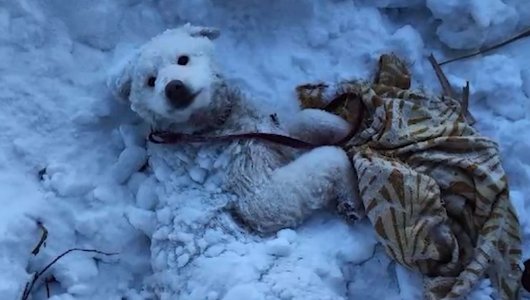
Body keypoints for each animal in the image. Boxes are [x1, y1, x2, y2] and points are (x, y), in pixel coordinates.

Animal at [107, 22, 364, 298]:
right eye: (151, 81)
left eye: (182, 59)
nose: (173, 87)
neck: (207, 130)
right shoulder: (255, 194)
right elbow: (330, 156)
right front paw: (351, 198)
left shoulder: (271, 134)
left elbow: (305, 120)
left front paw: (344, 126)